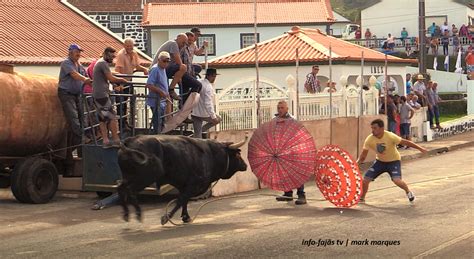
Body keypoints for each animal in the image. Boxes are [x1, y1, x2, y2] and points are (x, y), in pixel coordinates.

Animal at [117, 135, 248, 224]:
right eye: (237, 155)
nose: (245, 165)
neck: (211, 154)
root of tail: (129, 141)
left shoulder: (183, 185)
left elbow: (184, 201)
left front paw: (186, 217)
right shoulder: (193, 185)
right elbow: (181, 200)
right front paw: (166, 217)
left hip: (128, 176)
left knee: (121, 188)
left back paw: (126, 214)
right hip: (145, 178)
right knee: (130, 190)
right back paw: (138, 214)